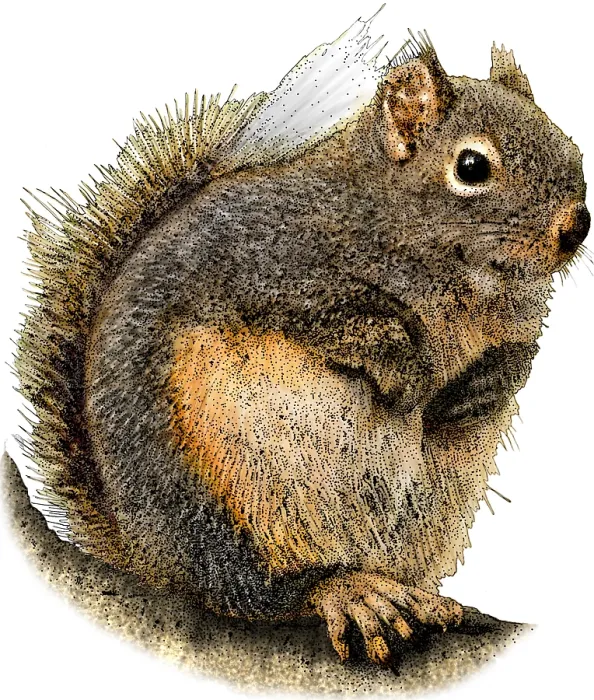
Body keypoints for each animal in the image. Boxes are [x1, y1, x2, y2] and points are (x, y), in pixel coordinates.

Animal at [10, 14, 589, 665]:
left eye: (570, 145)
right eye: (471, 167)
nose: (576, 226)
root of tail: (147, 558)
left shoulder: (518, 325)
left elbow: (517, 358)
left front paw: (472, 390)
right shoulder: (274, 271)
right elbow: (349, 322)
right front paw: (406, 375)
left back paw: (418, 597)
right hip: (215, 493)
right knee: (256, 589)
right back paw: (348, 592)